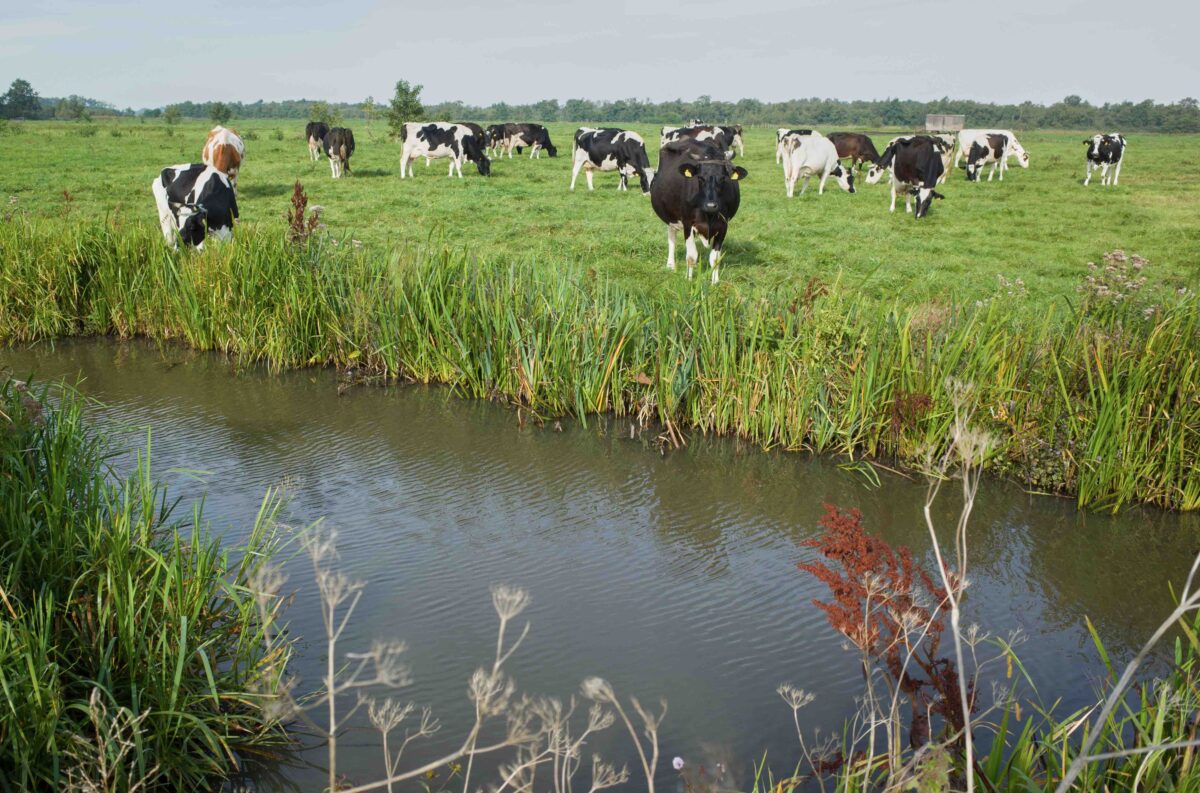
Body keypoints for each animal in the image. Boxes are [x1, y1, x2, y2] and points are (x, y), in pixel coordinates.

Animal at [650, 139, 747, 283]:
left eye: (723, 178)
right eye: (700, 178)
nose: (711, 205)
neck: (709, 215)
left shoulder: (723, 225)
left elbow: (715, 258)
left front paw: (715, 282)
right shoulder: (688, 223)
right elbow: (691, 256)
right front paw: (689, 280)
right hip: (671, 218)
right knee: (672, 239)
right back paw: (671, 265)